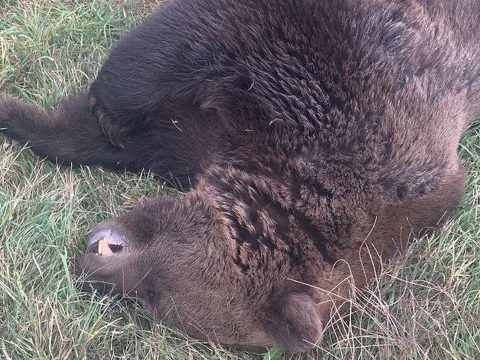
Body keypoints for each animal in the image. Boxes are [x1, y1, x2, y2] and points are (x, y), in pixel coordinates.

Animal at [0, 0, 478, 354]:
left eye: (151, 299)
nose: (87, 271)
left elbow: (120, 137)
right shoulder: (326, 64)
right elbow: (161, 56)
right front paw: (81, 111)